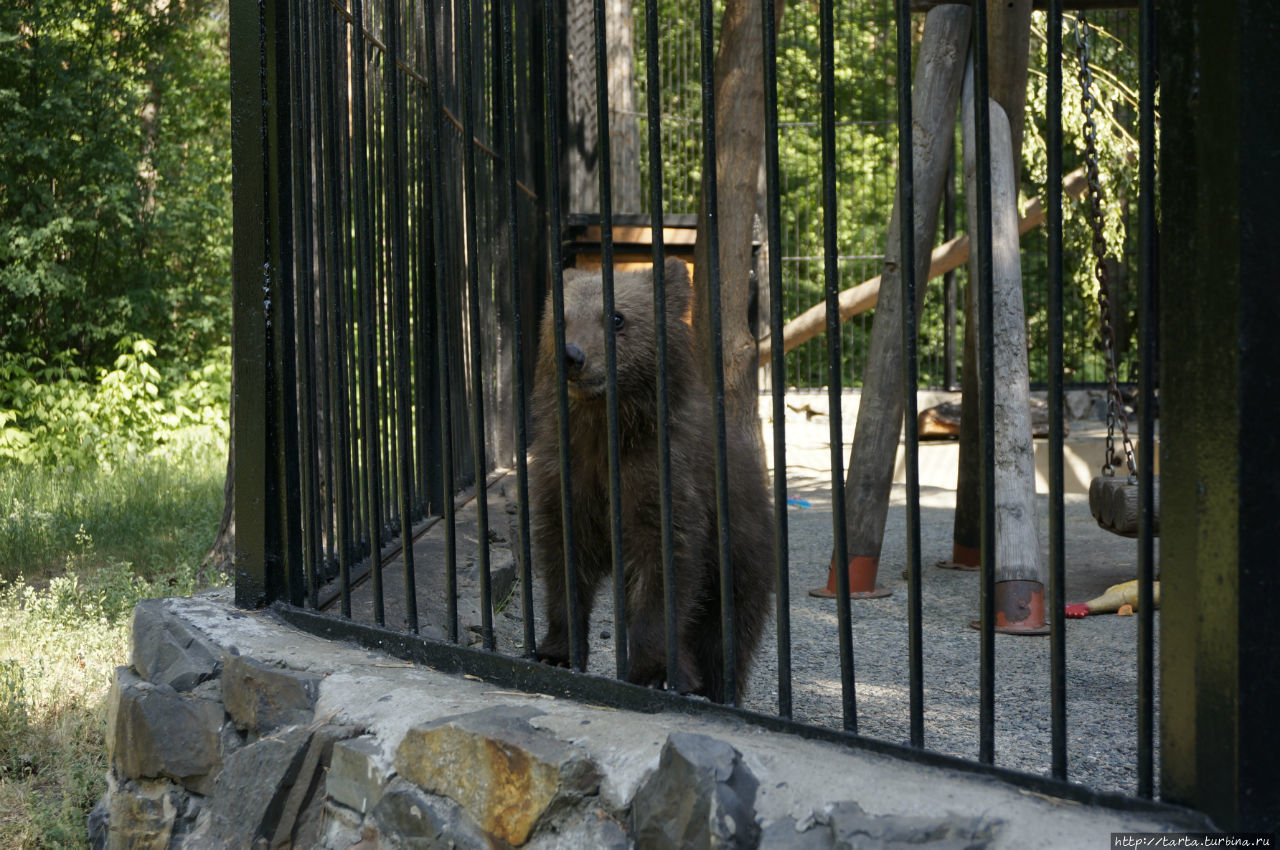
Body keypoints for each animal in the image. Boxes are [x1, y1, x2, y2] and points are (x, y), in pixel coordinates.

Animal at [527, 258, 773, 701]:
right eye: (562, 318)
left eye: (617, 317)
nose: (573, 356)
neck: (606, 431)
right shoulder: (565, 477)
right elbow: (563, 563)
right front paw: (555, 651)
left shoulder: (664, 481)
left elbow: (663, 570)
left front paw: (656, 672)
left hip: (742, 561)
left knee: (725, 641)